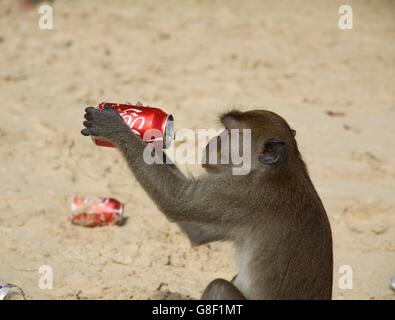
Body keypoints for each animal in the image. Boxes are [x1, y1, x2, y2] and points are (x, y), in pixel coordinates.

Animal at [81, 106, 334, 298]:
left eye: (230, 133)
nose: (213, 141)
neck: (279, 169)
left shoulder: (237, 193)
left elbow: (176, 200)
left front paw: (115, 127)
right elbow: (198, 234)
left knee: (218, 286)